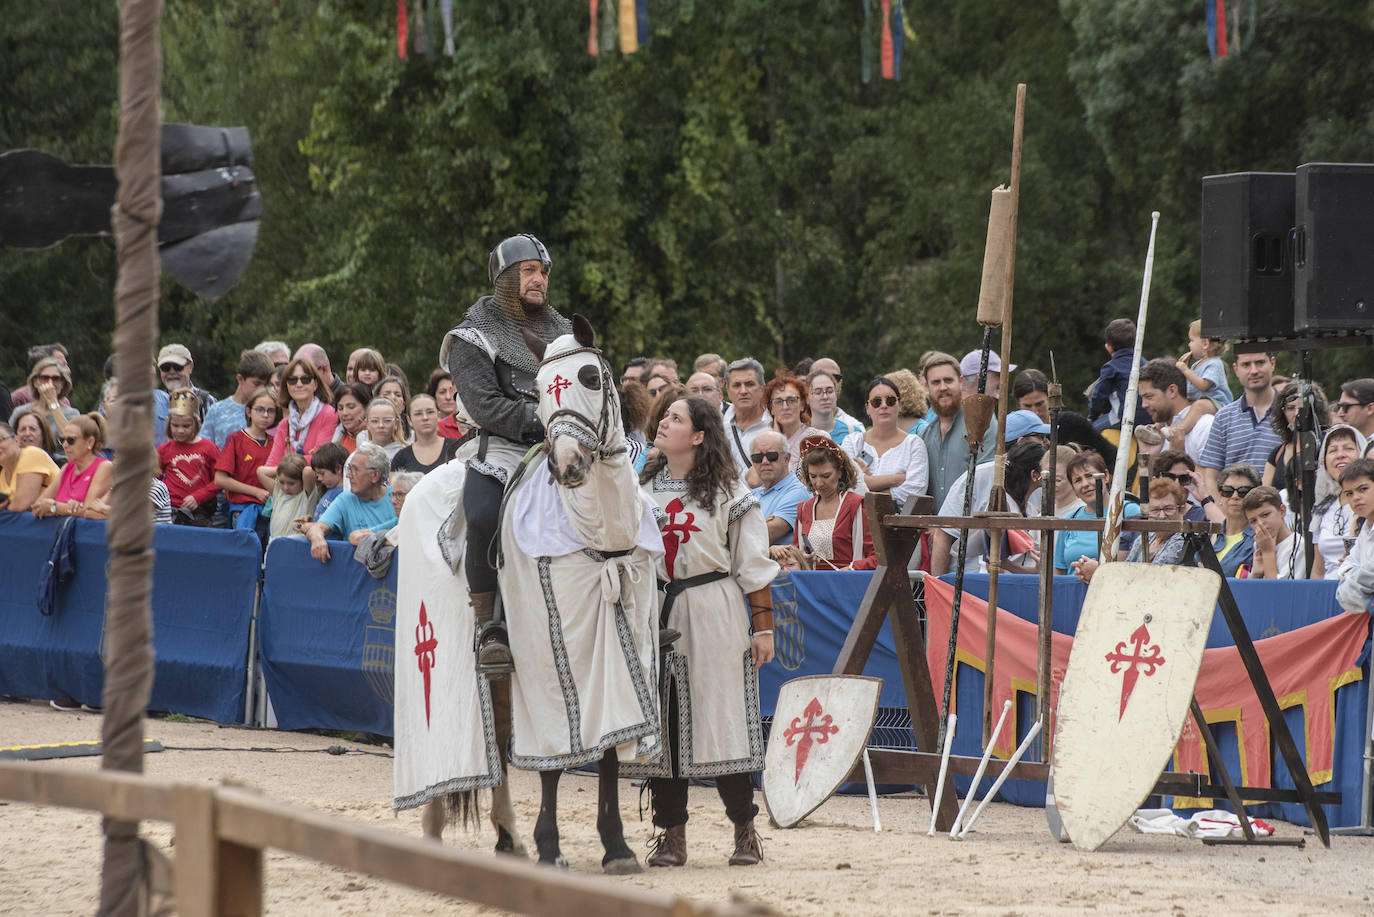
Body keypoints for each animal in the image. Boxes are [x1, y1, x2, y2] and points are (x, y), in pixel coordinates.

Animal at [395, 316, 662, 874]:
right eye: (539, 389)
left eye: (590, 376)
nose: (567, 463)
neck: (597, 534)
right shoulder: (546, 663)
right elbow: (553, 764)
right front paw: (550, 845)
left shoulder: (621, 649)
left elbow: (608, 755)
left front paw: (616, 847)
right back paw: (434, 830)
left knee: (497, 743)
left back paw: (507, 837)